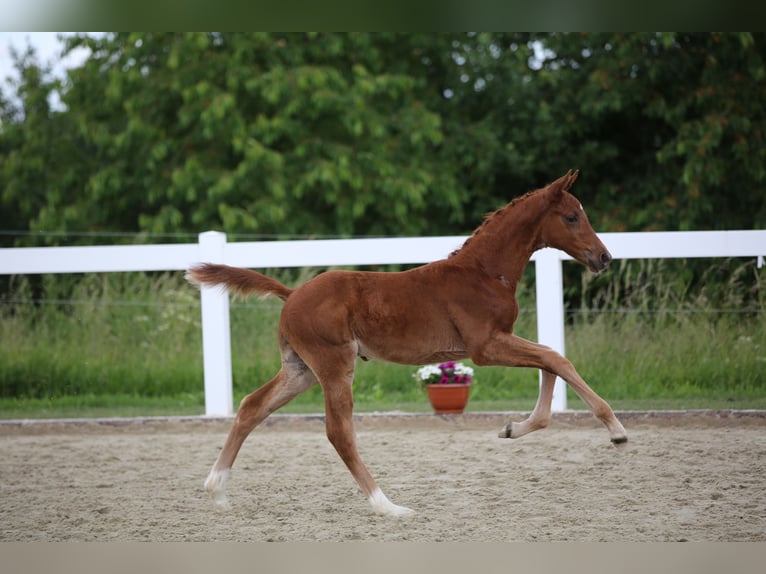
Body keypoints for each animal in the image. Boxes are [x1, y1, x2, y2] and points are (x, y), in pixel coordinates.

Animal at [186, 169, 628, 517]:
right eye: (571, 216)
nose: (604, 257)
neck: (484, 273)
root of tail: (292, 294)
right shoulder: (486, 347)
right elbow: (556, 358)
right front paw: (616, 430)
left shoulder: (498, 341)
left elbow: (550, 361)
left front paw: (514, 429)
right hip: (333, 364)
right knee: (338, 431)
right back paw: (388, 506)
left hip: (301, 369)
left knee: (252, 407)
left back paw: (217, 491)